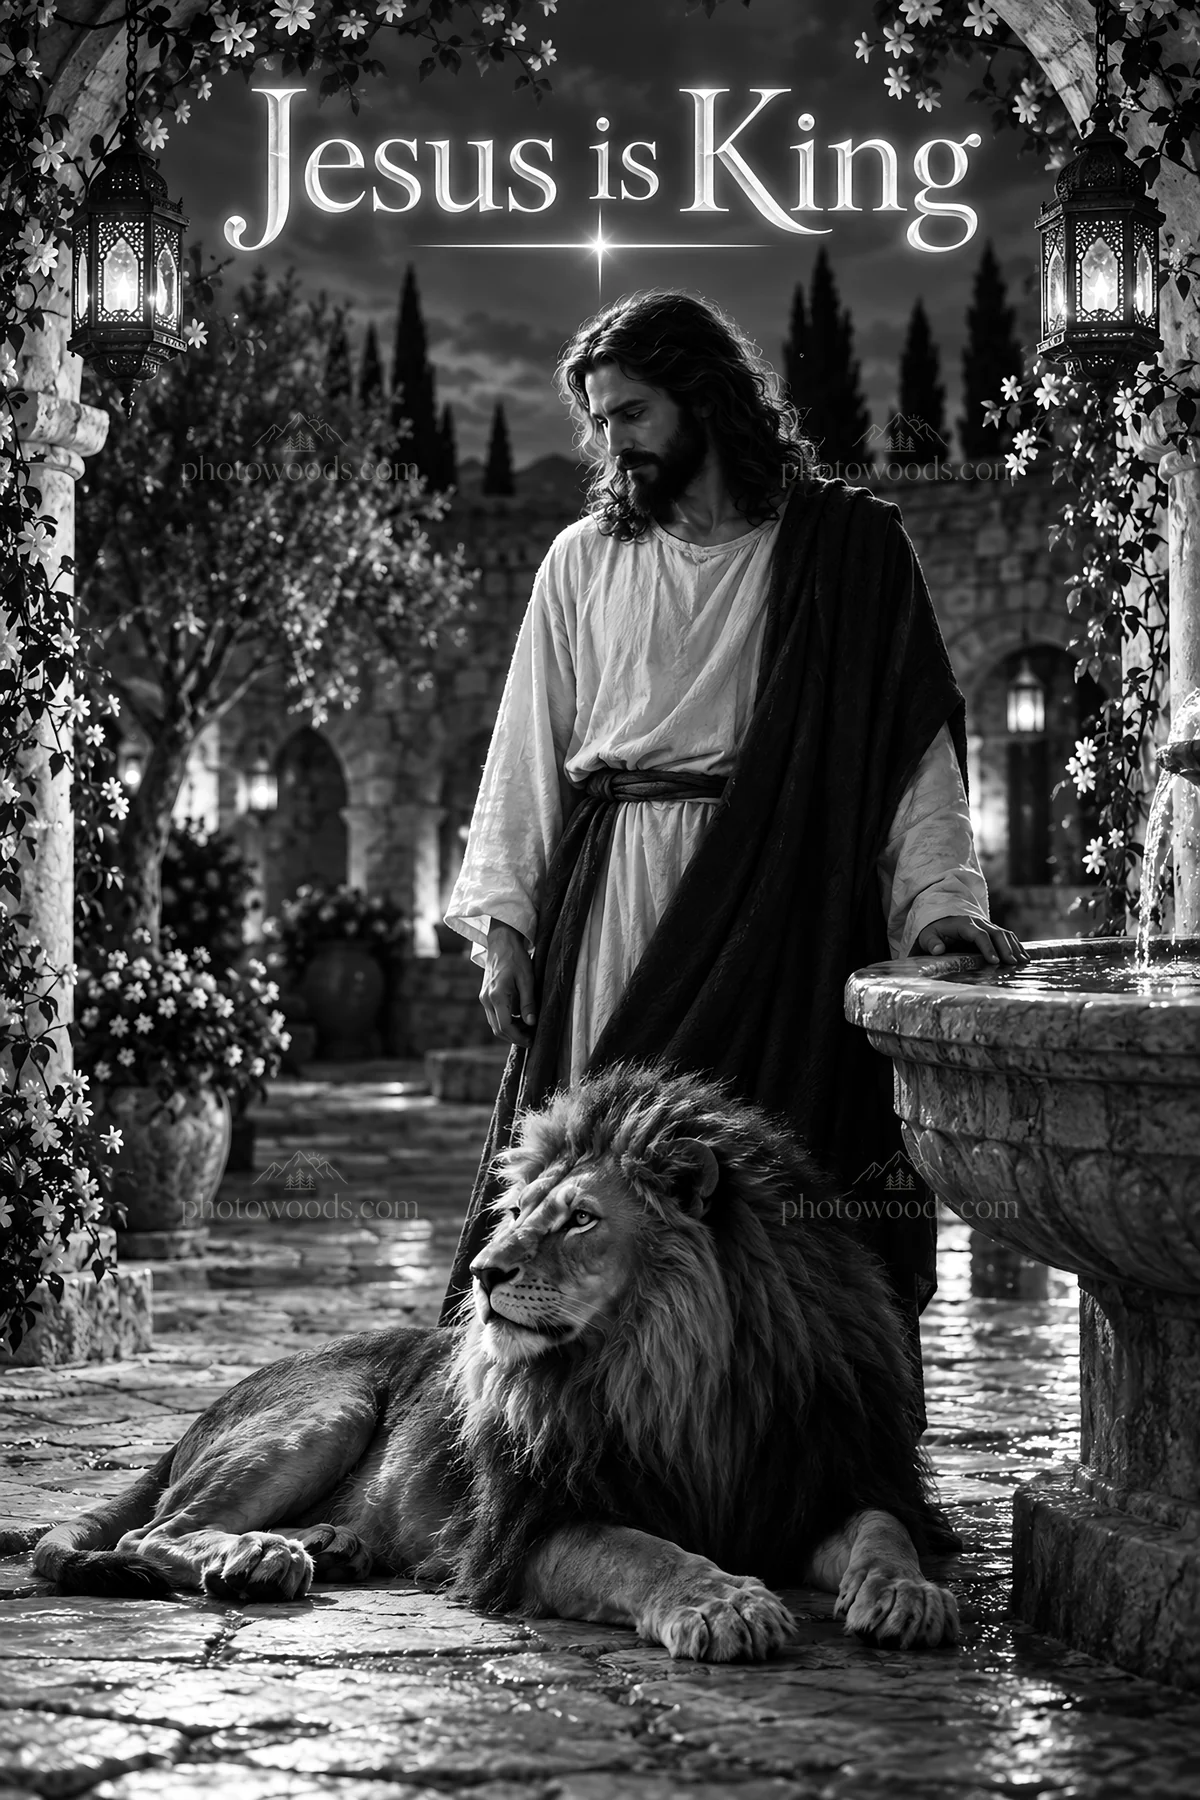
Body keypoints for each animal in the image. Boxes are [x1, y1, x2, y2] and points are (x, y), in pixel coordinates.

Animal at [33, 1063, 960, 1660]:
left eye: (581, 1218)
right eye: (515, 1212)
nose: (482, 1273)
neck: (676, 1374)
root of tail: (192, 1423)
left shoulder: (814, 1480)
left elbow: (883, 1528)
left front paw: (907, 1595)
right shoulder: (529, 1527)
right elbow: (645, 1552)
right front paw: (724, 1602)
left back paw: (327, 1545)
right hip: (327, 1407)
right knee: (157, 1531)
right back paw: (263, 1558)